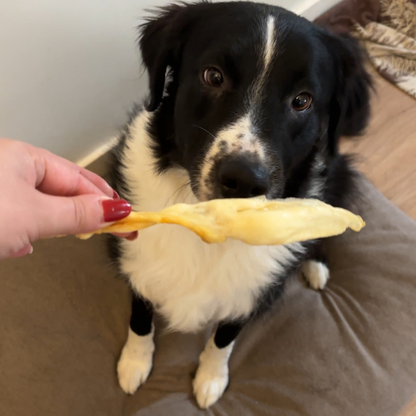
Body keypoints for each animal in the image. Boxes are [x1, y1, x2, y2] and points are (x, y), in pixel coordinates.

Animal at [106, 0, 370, 410]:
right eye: (213, 76)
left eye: (302, 101)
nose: (244, 180)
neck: (214, 226)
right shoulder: (136, 260)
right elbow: (140, 315)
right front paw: (135, 362)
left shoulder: (251, 292)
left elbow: (224, 338)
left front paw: (211, 379)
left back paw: (315, 265)